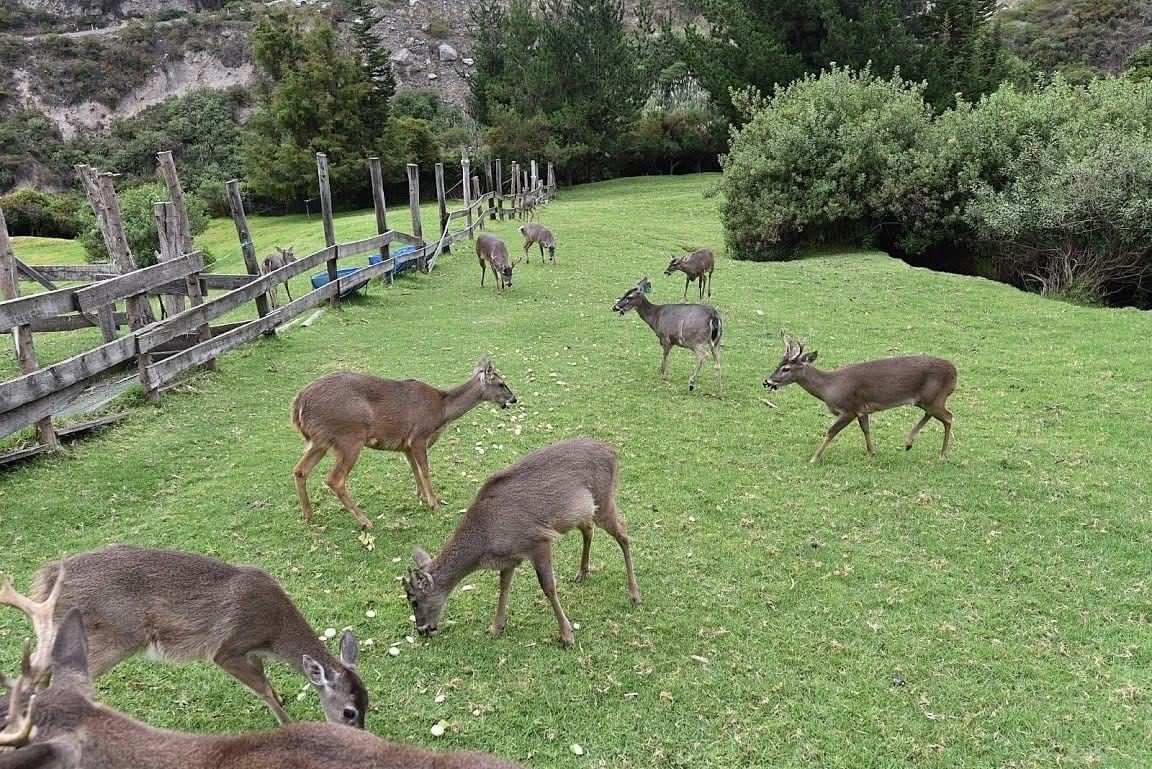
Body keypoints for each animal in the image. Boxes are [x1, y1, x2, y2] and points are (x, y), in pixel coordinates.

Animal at [0, 545, 368, 728]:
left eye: (369, 703)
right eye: (349, 712)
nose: (360, 733)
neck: (274, 633)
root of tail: (48, 579)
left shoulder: (251, 652)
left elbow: (266, 683)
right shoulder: (227, 648)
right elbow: (261, 688)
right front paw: (288, 724)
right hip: (114, 636)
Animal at [292, 356, 518, 528]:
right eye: (501, 383)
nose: (514, 399)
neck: (441, 411)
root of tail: (298, 405)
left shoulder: (406, 444)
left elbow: (414, 468)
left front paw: (421, 496)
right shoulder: (418, 436)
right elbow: (425, 470)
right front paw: (434, 503)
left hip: (319, 441)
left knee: (300, 470)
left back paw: (308, 515)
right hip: (348, 437)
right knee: (334, 479)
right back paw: (365, 521)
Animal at [402, 438, 641, 649]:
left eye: (413, 600)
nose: (423, 629)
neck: (486, 544)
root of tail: (613, 453)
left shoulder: (538, 540)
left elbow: (548, 587)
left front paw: (567, 636)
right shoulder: (511, 557)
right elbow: (504, 587)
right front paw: (496, 627)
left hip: (605, 498)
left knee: (624, 533)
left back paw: (635, 594)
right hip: (582, 512)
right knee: (589, 529)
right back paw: (582, 573)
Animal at [763, 335, 958, 463]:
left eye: (786, 368)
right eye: (778, 364)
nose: (767, 382)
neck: (828, 387)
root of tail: (955, 372)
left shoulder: (849, 408)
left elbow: (831, 432)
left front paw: (814, 458)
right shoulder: (862, 409)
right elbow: (866, 429)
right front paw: (871, 453)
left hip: (935, 397)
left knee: (948, 417)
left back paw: (941, 454)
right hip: (927, 400)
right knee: (934, 415)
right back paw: (908, 443)